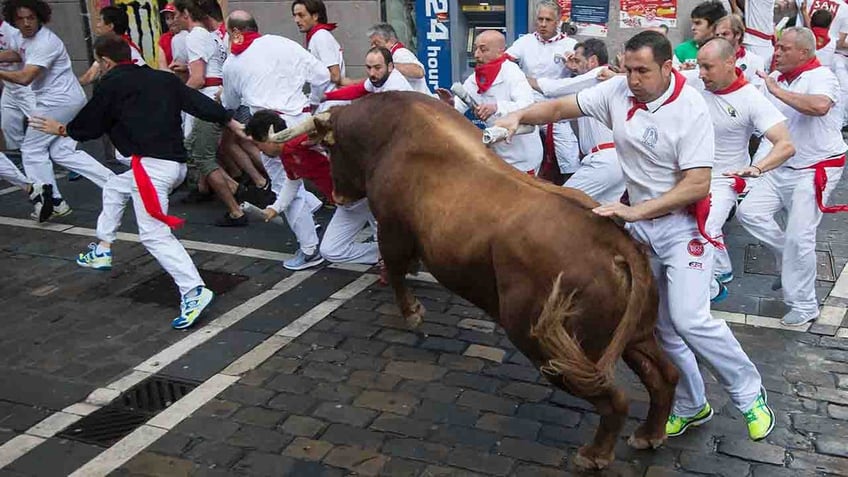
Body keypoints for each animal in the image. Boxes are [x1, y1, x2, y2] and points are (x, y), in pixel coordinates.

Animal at [274, 92, 680, 468]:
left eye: (330, 148)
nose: (338, 196)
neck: (391, 134)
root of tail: (616, 242)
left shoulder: (391, 230)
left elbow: (395, 269)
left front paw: (412, 312)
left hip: (548, 342)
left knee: (615, 398)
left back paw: (595, 454)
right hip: (631, 335)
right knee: (665, 375)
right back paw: (650, 434)